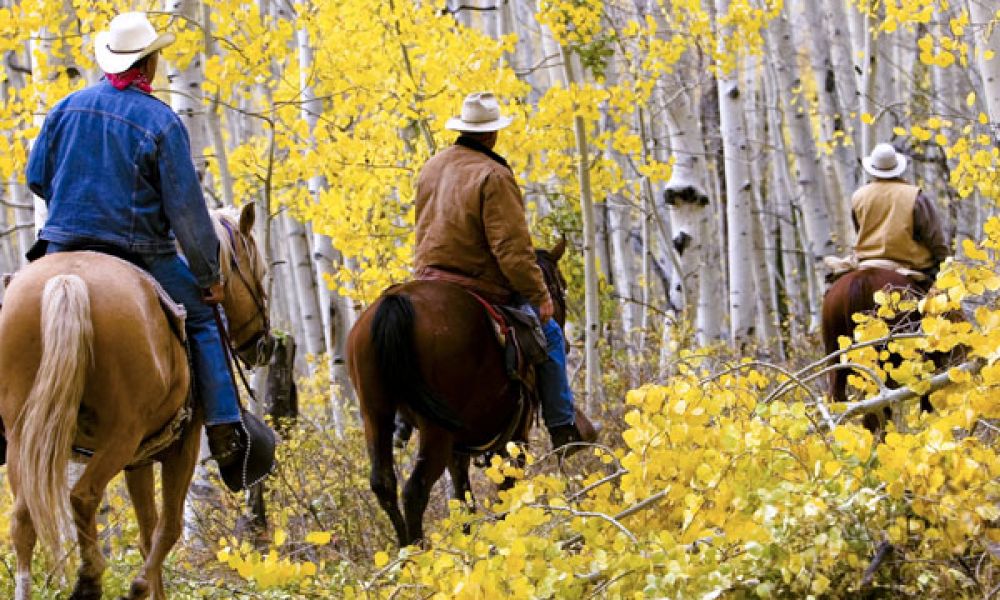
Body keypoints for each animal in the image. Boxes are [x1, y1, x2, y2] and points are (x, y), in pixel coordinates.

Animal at [0, 203, 271, 600]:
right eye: (259, 272)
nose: (264, 344)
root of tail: (67, 280)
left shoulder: (139, 460)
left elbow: (147, 533)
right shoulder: (181, 448)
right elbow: (168, 528)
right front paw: (141, 585)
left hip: (25, 438)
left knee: (24, 520)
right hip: (120, 435)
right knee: (83, 496)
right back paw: (90, 578)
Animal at [347, 241, 573, 547]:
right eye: (560, 287)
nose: (566, 342)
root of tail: (394, 302)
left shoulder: (460, 449)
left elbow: (463, 500)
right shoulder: (515, 438)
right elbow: (504, 494)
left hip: (376, 414)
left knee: (384, 484)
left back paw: (405, 552)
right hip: (436, 430)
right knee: (414, 490)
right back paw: (419, 553)